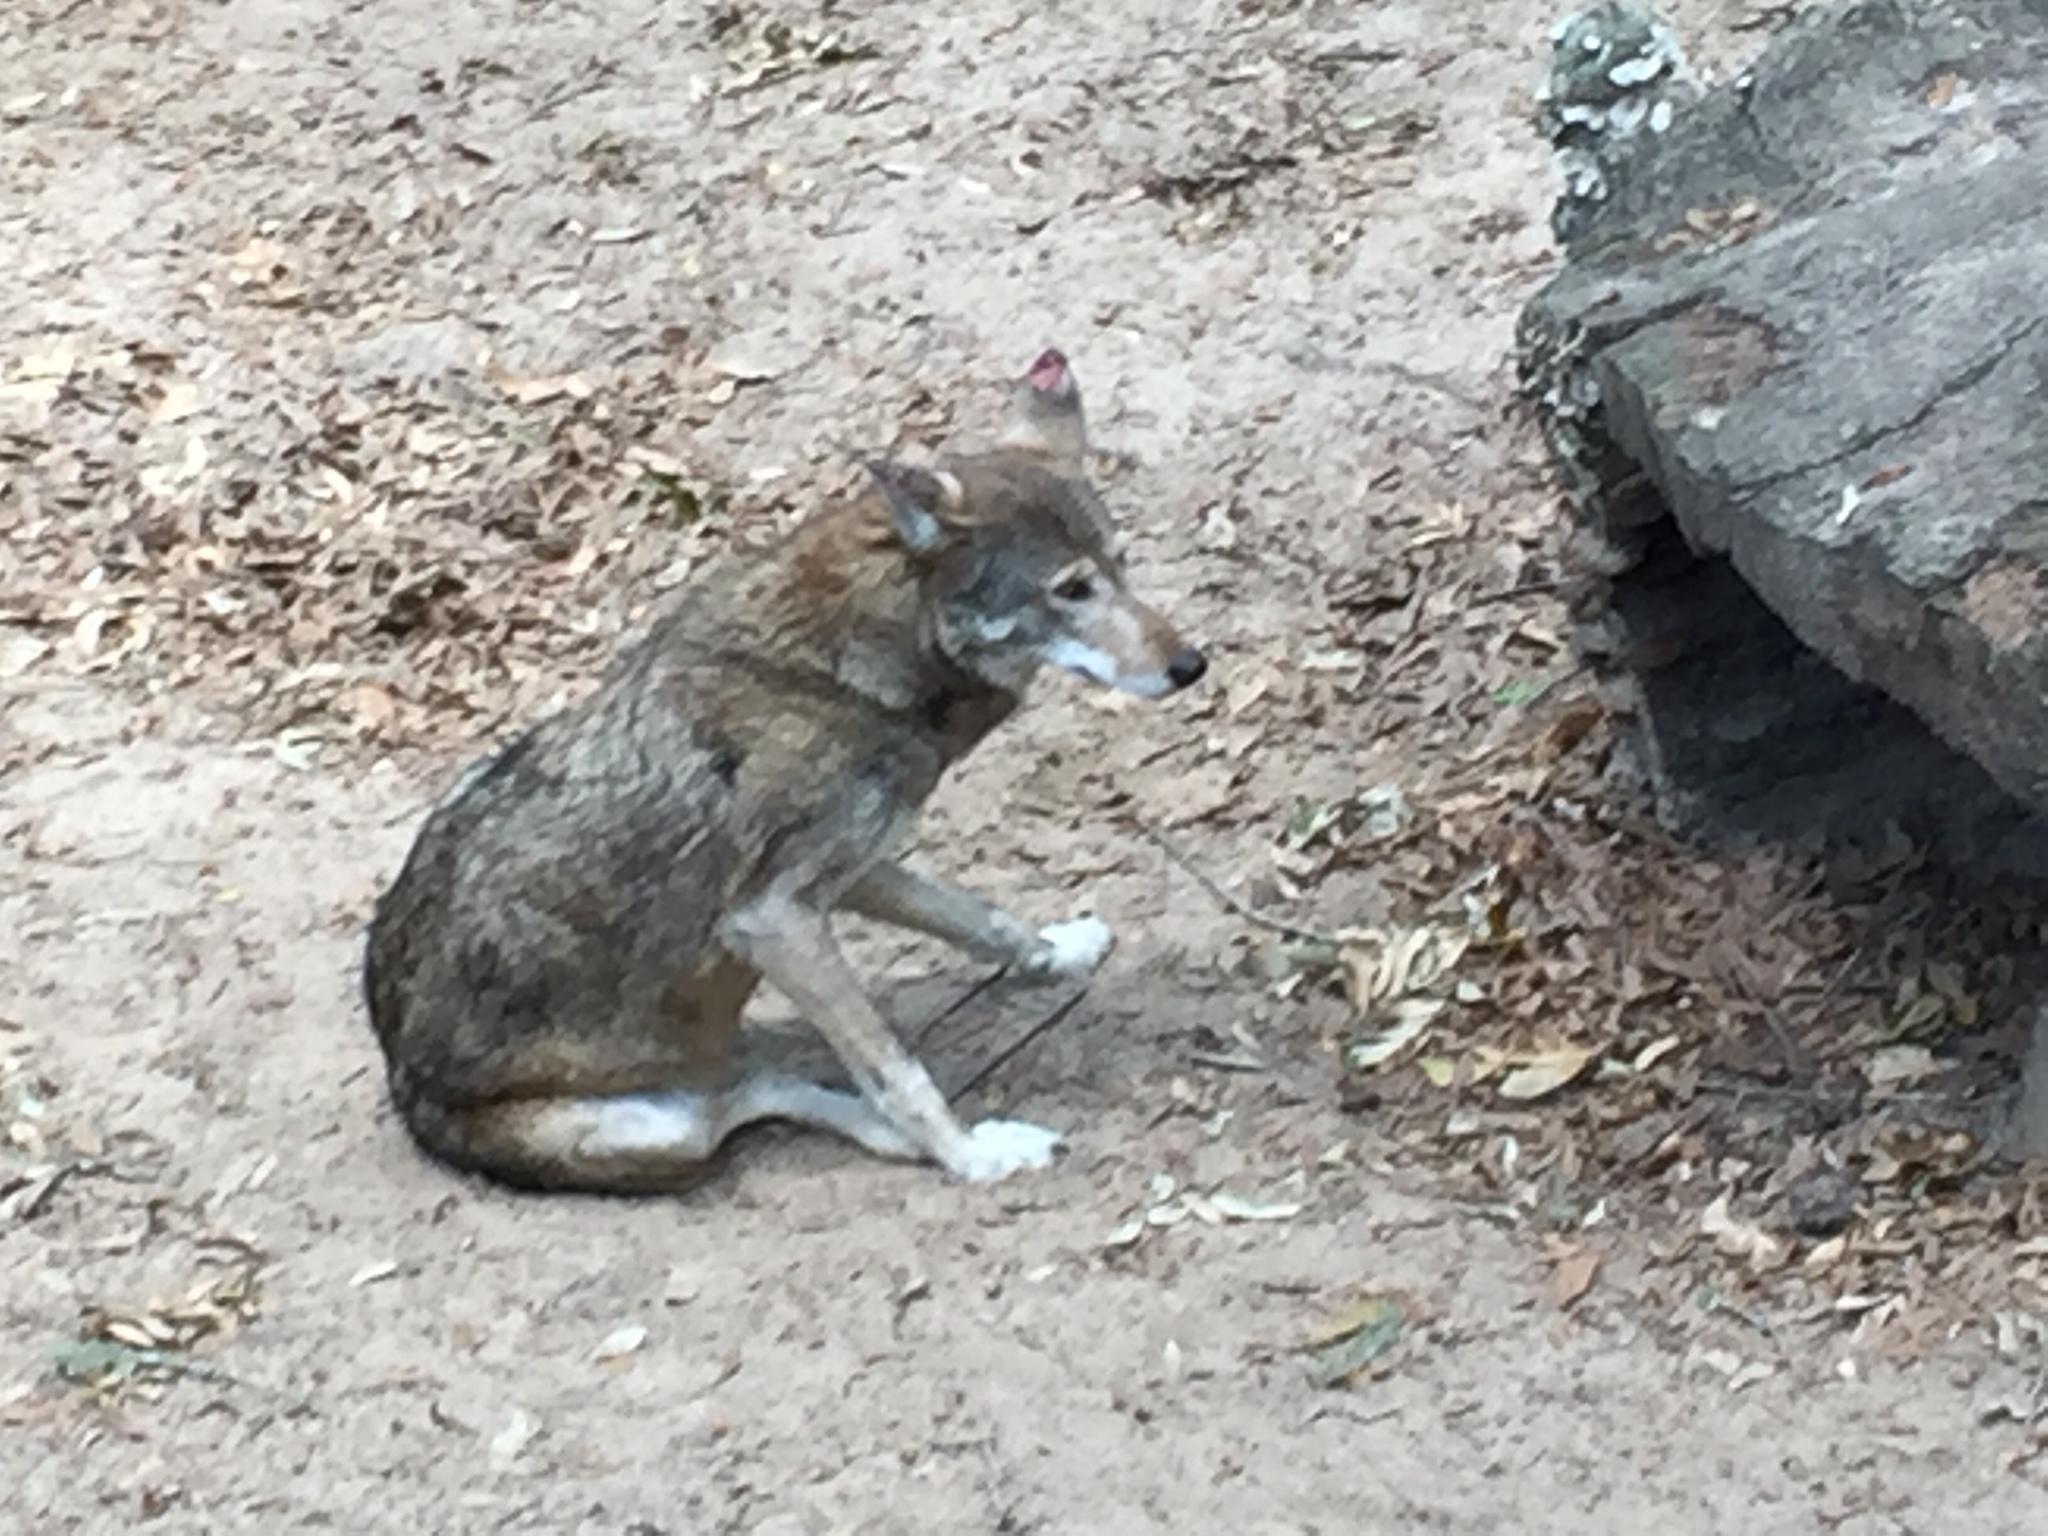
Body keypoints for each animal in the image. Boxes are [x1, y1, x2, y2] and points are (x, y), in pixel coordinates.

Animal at [362, 348, 1207, 1193]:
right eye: (1072, 590)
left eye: (1122, 567)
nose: (1192, 666)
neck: (865, 665)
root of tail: (405, 1094)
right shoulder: (775, 920)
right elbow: (899, 1071)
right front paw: (969, 1160)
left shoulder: (857, 869)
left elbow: (979, 918)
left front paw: (1058, 953)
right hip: (665, 1130)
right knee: (785, 1106)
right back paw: (980, 1145)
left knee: (776, 1093)